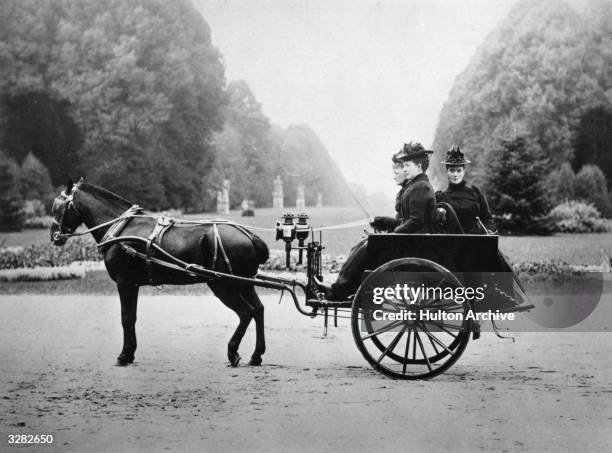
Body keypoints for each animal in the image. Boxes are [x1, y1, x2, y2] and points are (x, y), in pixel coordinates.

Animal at [51, 177, 272, 368]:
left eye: (58, 207)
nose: (54, 236)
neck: (121, 229)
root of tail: (249, 235)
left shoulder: (124, 282)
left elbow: (125, 318)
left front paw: (124, 355)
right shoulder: (132, 284)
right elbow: (132, 317)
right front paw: (130, 353)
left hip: (223, 285)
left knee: (246, 312)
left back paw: (233, 352)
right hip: (243, 283)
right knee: (258, 310)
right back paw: (256, 355)